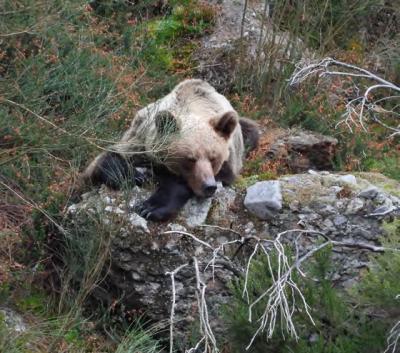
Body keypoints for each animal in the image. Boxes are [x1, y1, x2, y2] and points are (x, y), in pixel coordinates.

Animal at [82, 79, 260, 220]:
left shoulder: (230, 161)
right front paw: (135, 176)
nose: (209, 186)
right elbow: (108, 158)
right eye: (190, 158)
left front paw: (150, 207)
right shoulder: (141, 140)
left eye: (213, 158)